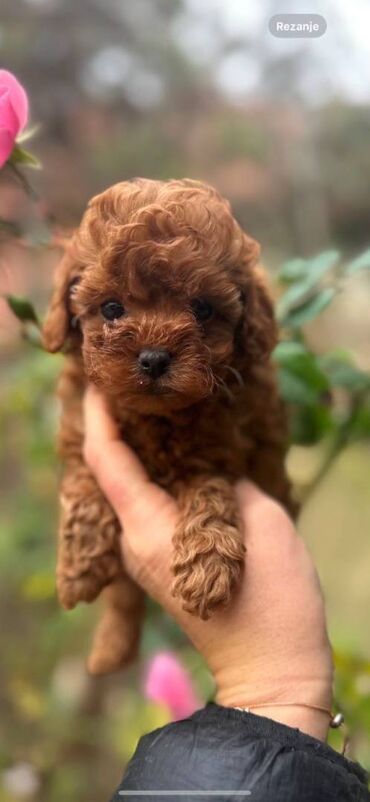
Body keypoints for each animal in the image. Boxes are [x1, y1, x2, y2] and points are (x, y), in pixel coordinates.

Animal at [42, 177, 292, 676]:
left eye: (202, 309)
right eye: (111, 308)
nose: (155, 358)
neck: (156, 417)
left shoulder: (221, 451)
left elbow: (210, 492)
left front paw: (207, 568)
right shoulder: (79, 431)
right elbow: (82, 482)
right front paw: (79, 564)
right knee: (123, 598)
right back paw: (110, 650)